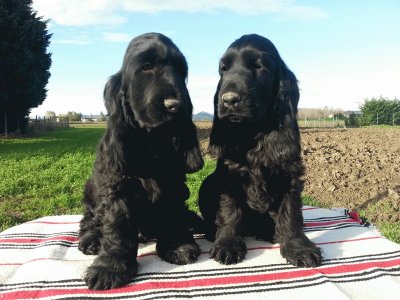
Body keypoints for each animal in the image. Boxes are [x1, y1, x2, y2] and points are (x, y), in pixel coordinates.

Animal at [78, 32, 203, 288]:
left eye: (181, 70)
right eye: (146, 67)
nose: (175, 106)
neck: (151, 140)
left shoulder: (174, 185)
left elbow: (173, 214)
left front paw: (179, 245)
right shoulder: (118, 187)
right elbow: (116, 226)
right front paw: (110, 267)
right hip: (91, 192)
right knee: (89, 219)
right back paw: (92, 240)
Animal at [199, 34, 322, 268]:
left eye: (258, 66)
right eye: (223, 69)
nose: (228, 100)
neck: (254, 131)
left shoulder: (290, 172)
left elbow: (291, 213)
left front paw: (298, 248)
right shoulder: (228, 175)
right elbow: (229, 210)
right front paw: (227, 243)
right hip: (207, 183)